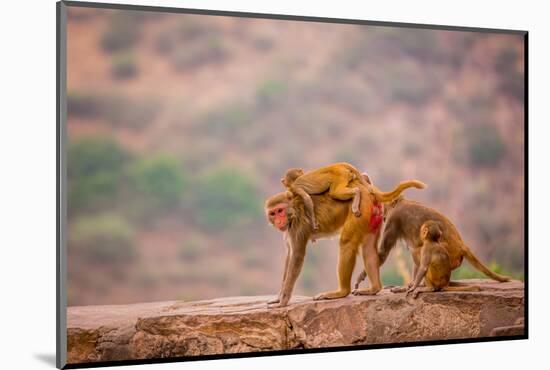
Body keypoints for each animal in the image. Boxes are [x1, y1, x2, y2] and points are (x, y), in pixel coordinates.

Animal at [264, 178, 426, 308]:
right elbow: (289, 256)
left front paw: (283, 301)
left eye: (280, 210)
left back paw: (341, 292)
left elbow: (296, 257)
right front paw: (278, 297)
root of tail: (368, 191)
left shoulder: (298, 226)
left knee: (346, 242)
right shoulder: (289, 230)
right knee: (368, 248)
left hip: (359, 211)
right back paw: (374, 288)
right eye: (273, 213)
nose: (279, 221)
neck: (292, 211)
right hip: (372, 215)